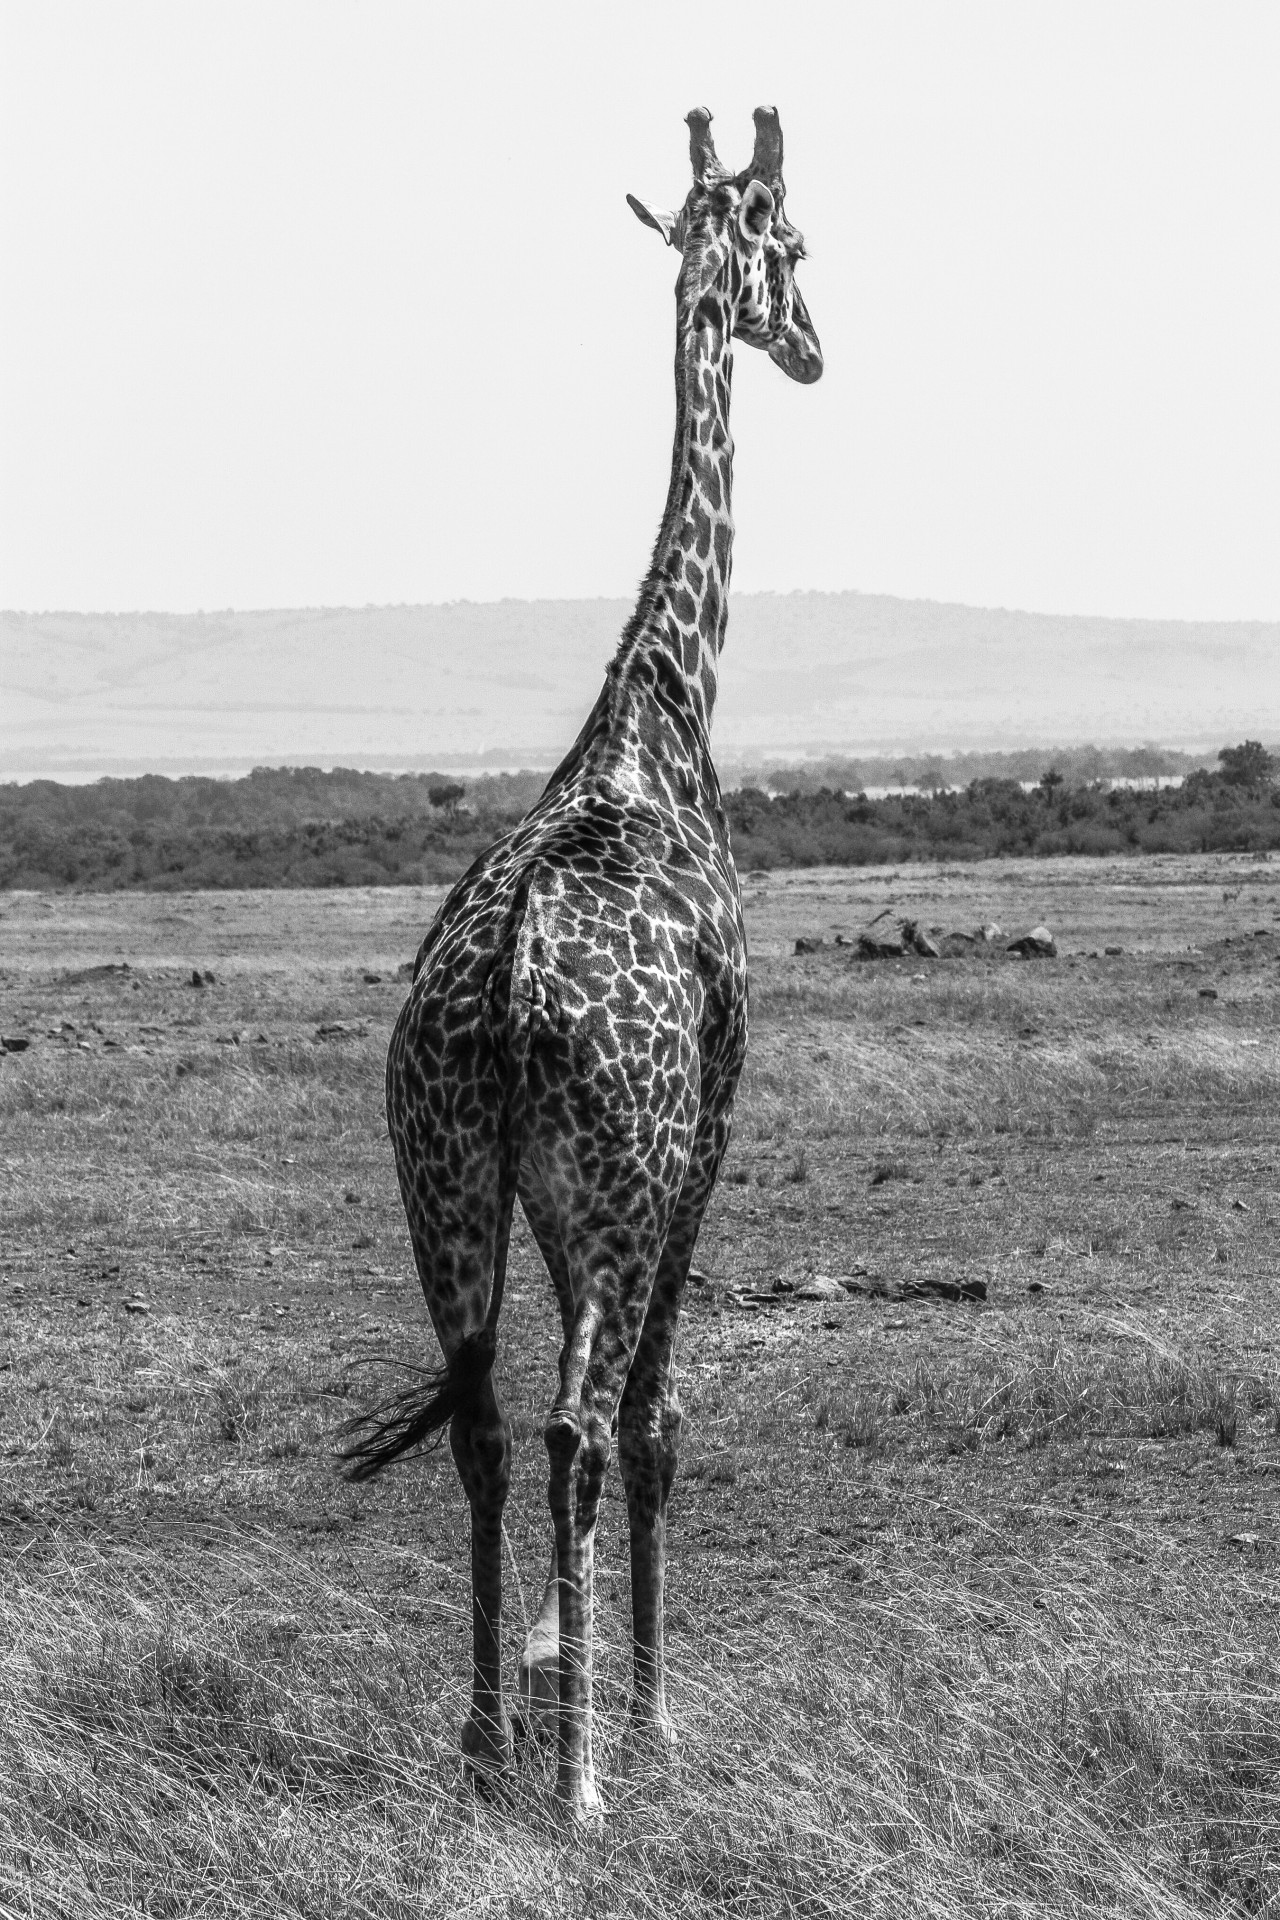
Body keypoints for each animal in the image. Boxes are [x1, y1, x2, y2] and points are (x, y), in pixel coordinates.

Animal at [340, 105, 822, 1820]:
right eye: (796, 250)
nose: (816, 347)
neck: (659, 717)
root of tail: (496, 995)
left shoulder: (556, 1197)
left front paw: (560, 1678)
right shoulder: (703, 1143)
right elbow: (663, 1420)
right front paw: (651, 1717)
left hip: (444, 1183)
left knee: (488, 1427)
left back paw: (491, 1739)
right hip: (616, 1185)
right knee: (574, 1431)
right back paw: (581, 1784)